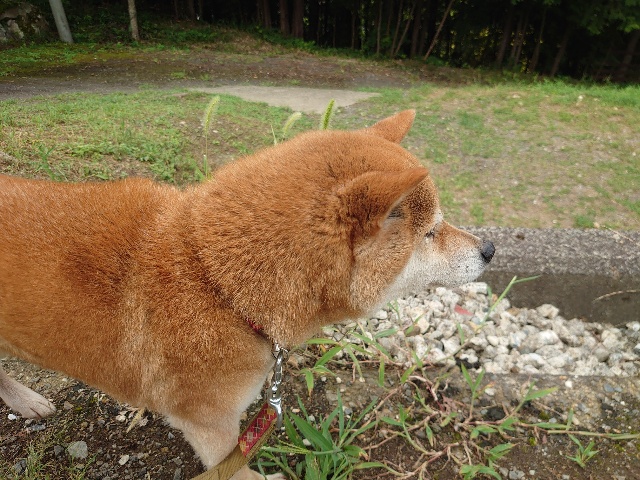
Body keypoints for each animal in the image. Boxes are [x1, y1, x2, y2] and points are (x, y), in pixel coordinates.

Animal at [0, 110, 494, 479]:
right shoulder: (209, 425)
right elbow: (235, 469)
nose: (489, 248)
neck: (215, 282)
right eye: (430, 233)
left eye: (440, 224)